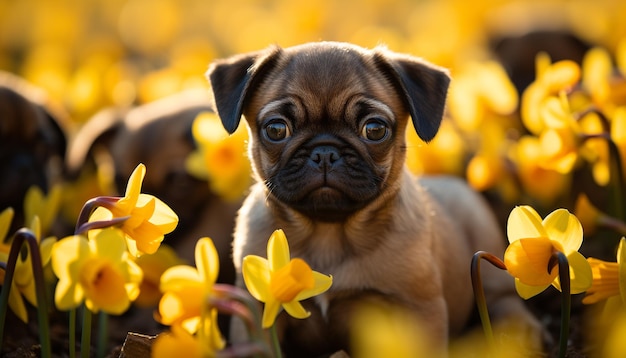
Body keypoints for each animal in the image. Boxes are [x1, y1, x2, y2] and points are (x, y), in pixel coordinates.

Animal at [206, 41, 540, 356]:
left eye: (375, 129)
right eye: (276, 129)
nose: (324, 151)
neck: (328, 232)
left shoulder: (420, 309)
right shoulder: (256, 311)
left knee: (503, 297)